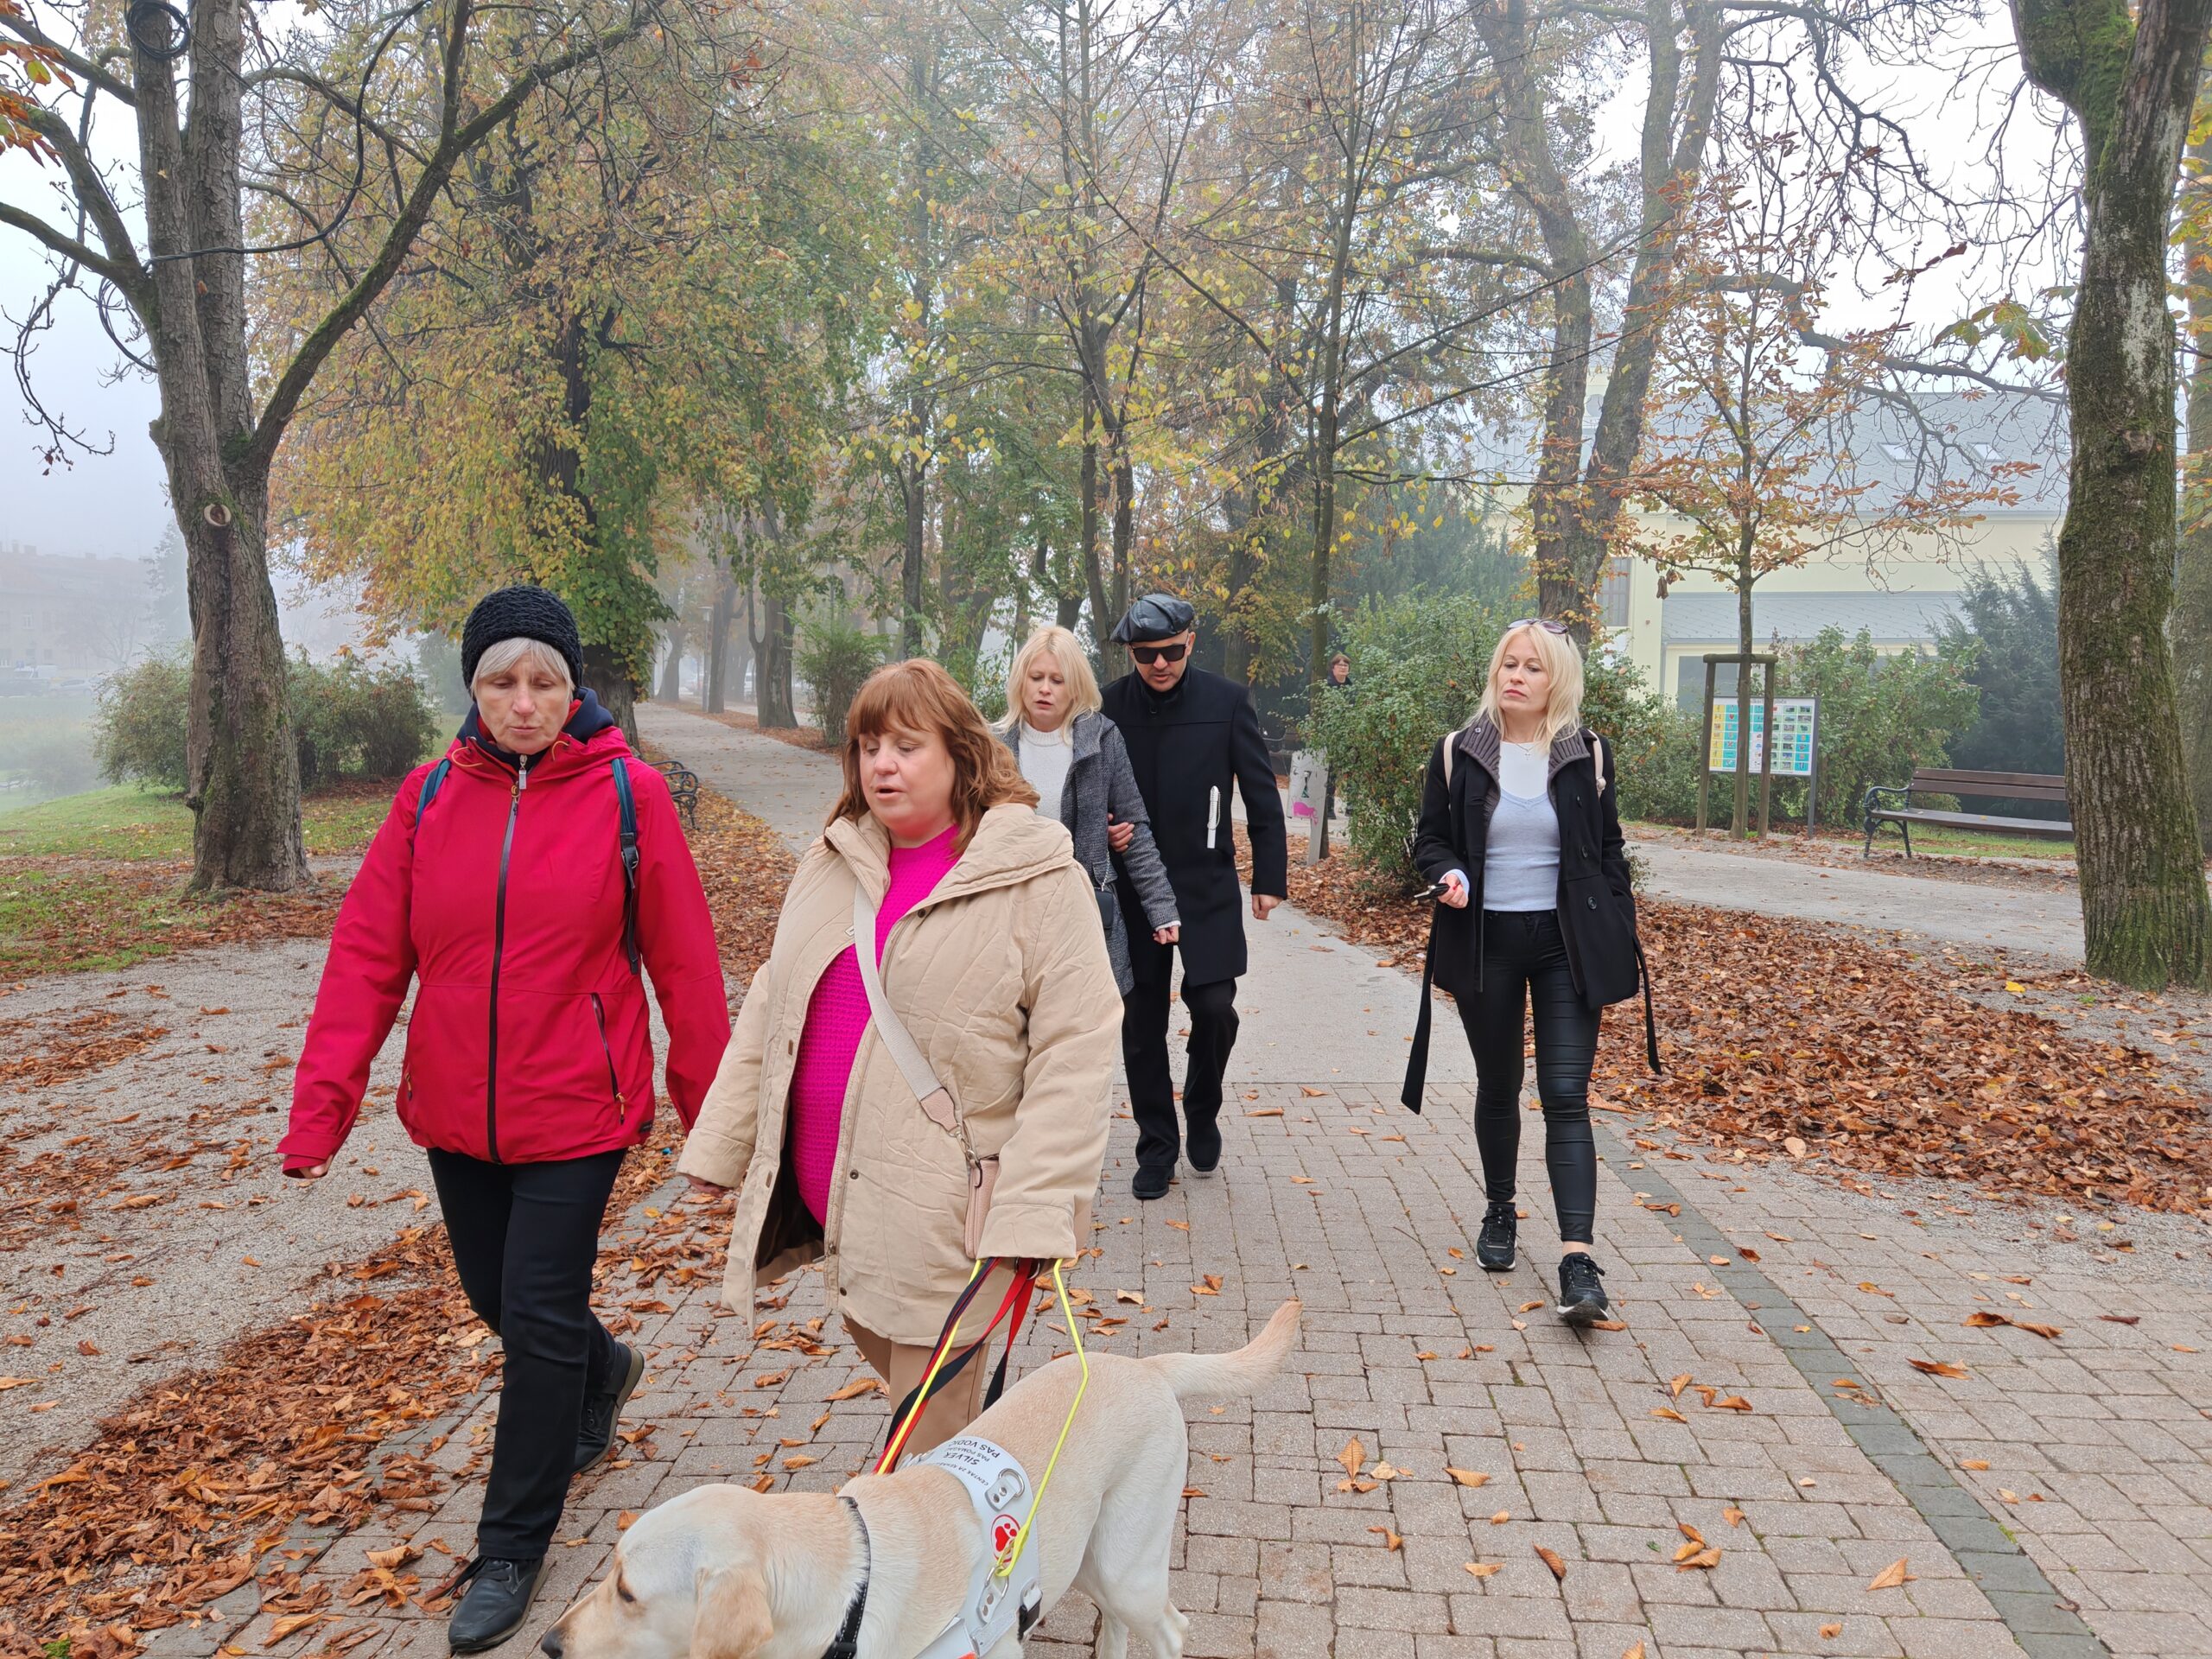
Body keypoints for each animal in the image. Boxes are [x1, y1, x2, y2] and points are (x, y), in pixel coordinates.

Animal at [535, 1309, 1292, 1659]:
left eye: (628, 1593)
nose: (549, 1644)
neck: (847, 1604)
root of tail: (1148, 1367)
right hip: (1084, 1560)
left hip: (1126, 1563)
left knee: (1168, 1627)